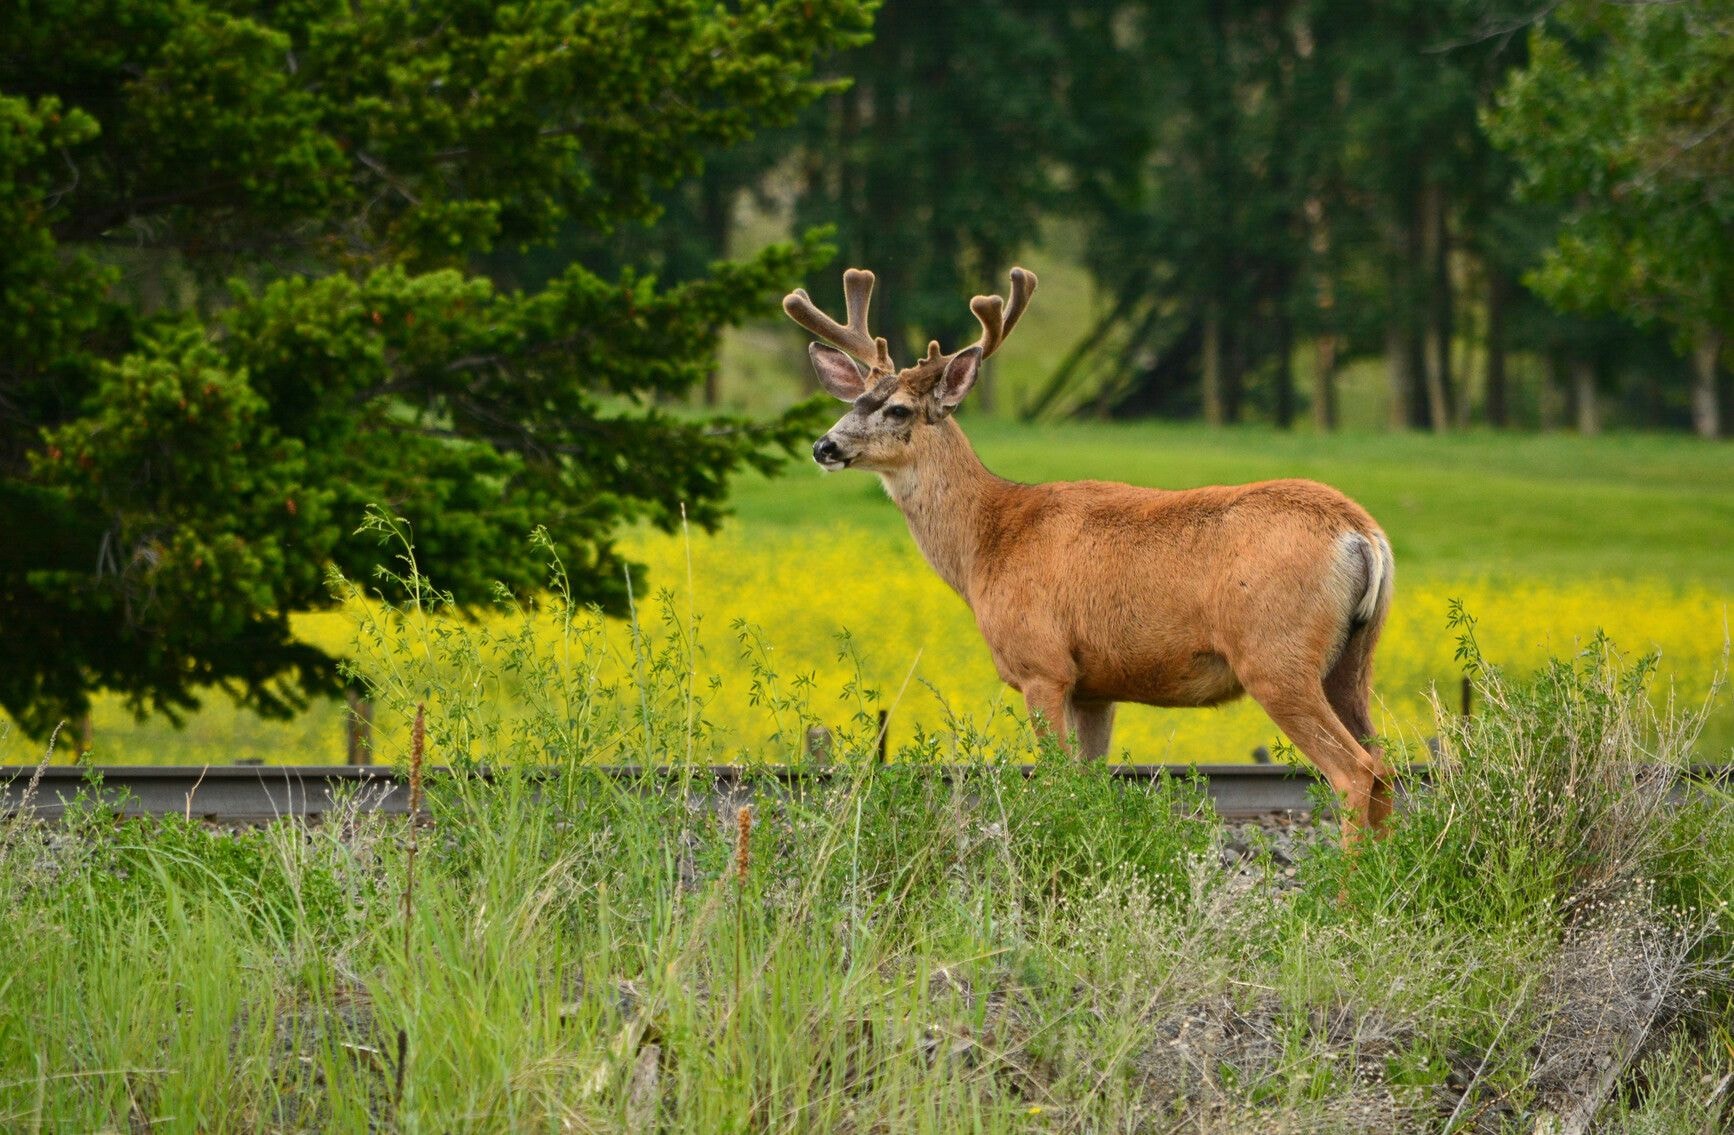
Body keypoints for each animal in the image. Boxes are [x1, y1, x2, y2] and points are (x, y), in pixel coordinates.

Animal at [784, 266, 1398, 837]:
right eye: (855, 398)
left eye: (899, 410)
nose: (824, 445)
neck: (987, 543)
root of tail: (1362, 535)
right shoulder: (1096, 687)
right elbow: (1089, 780)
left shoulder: (1043, 663)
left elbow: (1058, 780)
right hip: (1353, 660)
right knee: (1385, 760)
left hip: (1276, 654)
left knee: (1354, 769)